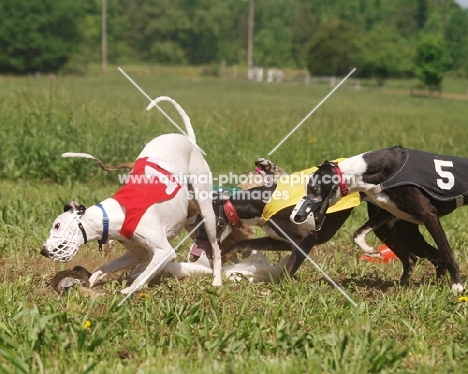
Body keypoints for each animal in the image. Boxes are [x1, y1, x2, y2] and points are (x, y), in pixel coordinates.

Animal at [41, 96, 222, 296]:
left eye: (57, 225)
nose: (43, 251)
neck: (112, 215)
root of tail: (189, 140)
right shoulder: (138, 253)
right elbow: (105, 267)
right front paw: (88, 282)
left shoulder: (163, 251)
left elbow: (142, 277)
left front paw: (127, 291)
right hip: (190, 220)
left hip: (206, 214)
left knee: (216, 248)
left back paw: (217, 280)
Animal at [294, 146, 466, 292]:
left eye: (314, 188)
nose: (299, 215)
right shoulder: (386, 213)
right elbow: (357, 234)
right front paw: (372, 252)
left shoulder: (430, 216)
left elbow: (448, 253)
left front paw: (457, 286)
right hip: (399, 232)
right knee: (418, 258)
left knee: (434, 256)